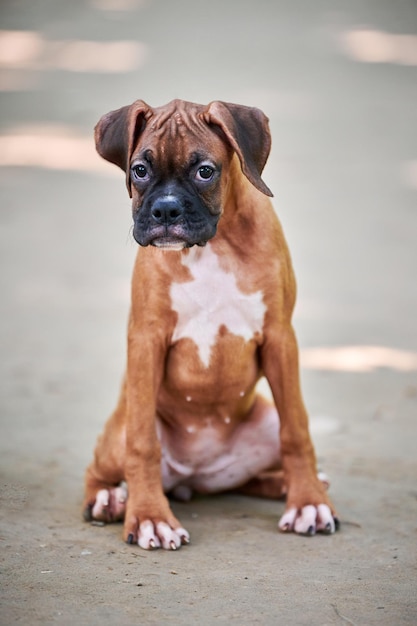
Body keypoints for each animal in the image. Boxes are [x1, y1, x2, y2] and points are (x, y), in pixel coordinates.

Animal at [83, 97, 338, 544]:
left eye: (205, 171)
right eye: (140, 169)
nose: (165, 209)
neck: (211, 247)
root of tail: (194, 478)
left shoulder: (280, 339)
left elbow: (298, 431)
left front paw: (308, 501)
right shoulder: (146, 341)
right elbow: (142, 444)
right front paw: (148, 516)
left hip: (264, 422)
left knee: (256, 474)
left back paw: (292, 485)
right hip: (117, 433)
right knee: (99, 469)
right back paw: (110, 499)